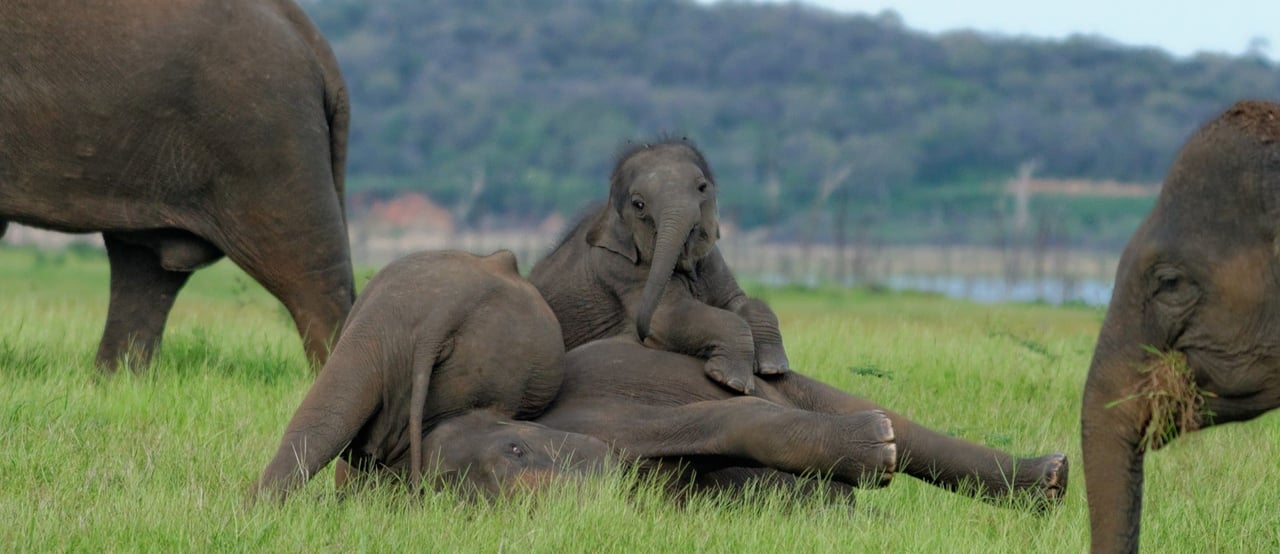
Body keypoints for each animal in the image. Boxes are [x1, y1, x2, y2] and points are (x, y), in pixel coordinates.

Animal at [529, 136, 788, 394]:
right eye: (639, 204)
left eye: (702, 188)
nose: (640, 334)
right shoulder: (621, 270)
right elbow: (668, 315)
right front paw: (730, 382)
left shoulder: (712, 261)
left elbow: (738, 302)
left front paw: (772, 368)